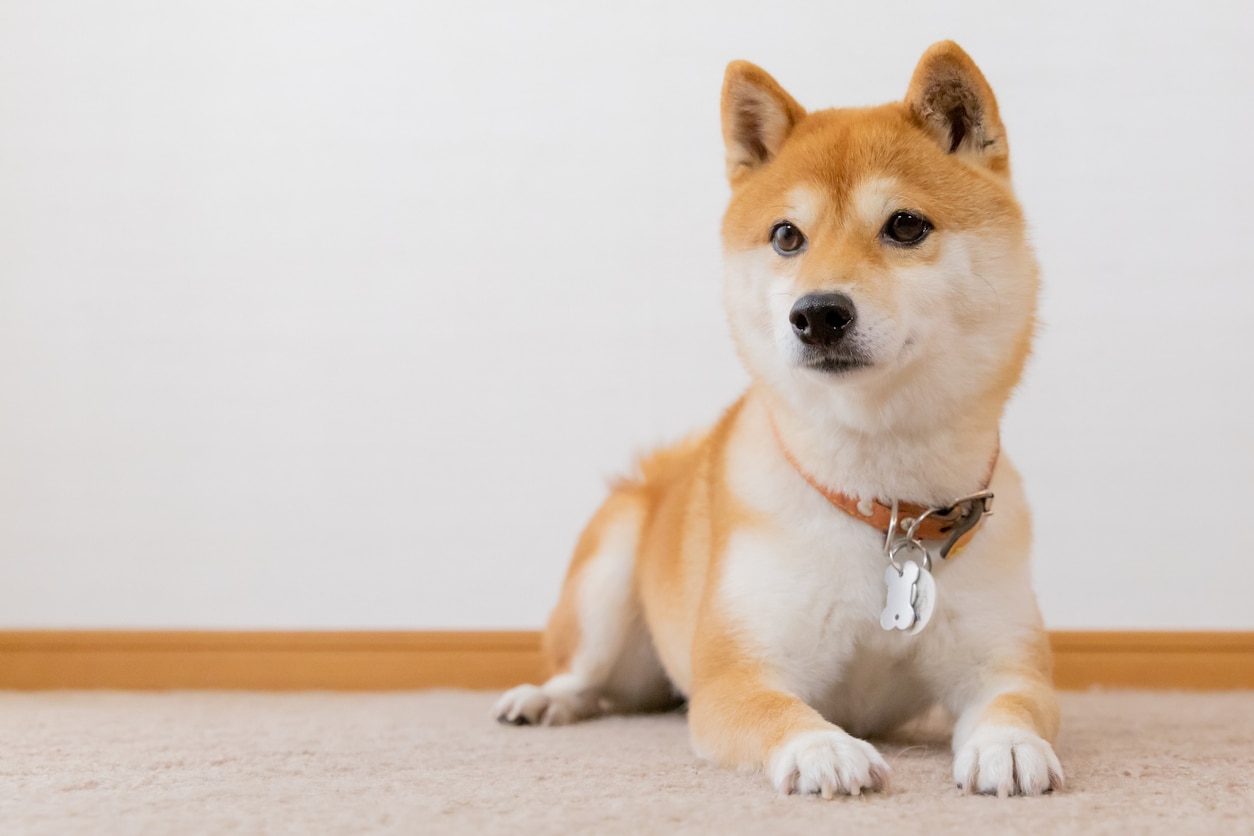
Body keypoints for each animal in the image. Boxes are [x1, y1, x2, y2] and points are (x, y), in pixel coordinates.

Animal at [494, 42, 1063, 802]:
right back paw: (543, 699)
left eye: (906, 225)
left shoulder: (1001, 658)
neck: (885, 509)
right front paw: (824, 749)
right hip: (609, 571)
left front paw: (1008, 744)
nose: (818, 313)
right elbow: (779, 712)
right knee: (584, 675)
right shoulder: (739, 672)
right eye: (787, 236)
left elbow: (1014, 702)